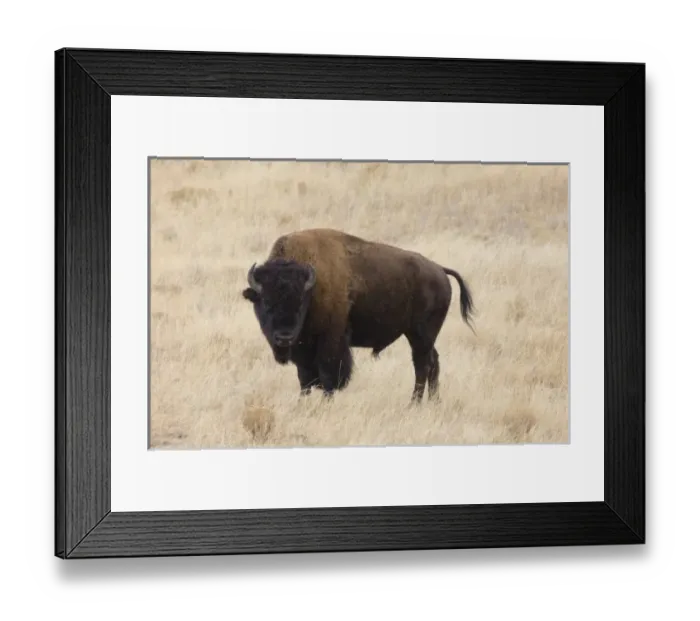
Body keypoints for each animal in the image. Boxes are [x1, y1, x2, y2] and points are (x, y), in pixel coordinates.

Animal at [242, 228, 475, 403]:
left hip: (421, 335)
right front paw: (303, 403)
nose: (284, 337)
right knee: (433, 362)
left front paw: (326, 402)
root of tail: (440, 270)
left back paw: (414, 404)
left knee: (422, 365)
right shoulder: (302, 348)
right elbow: (305, 378)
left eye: (300, 304)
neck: (312, 288)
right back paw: (433, 402)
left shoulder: (331, 341)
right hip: (420, 335)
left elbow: (328, 375)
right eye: (267, 303)